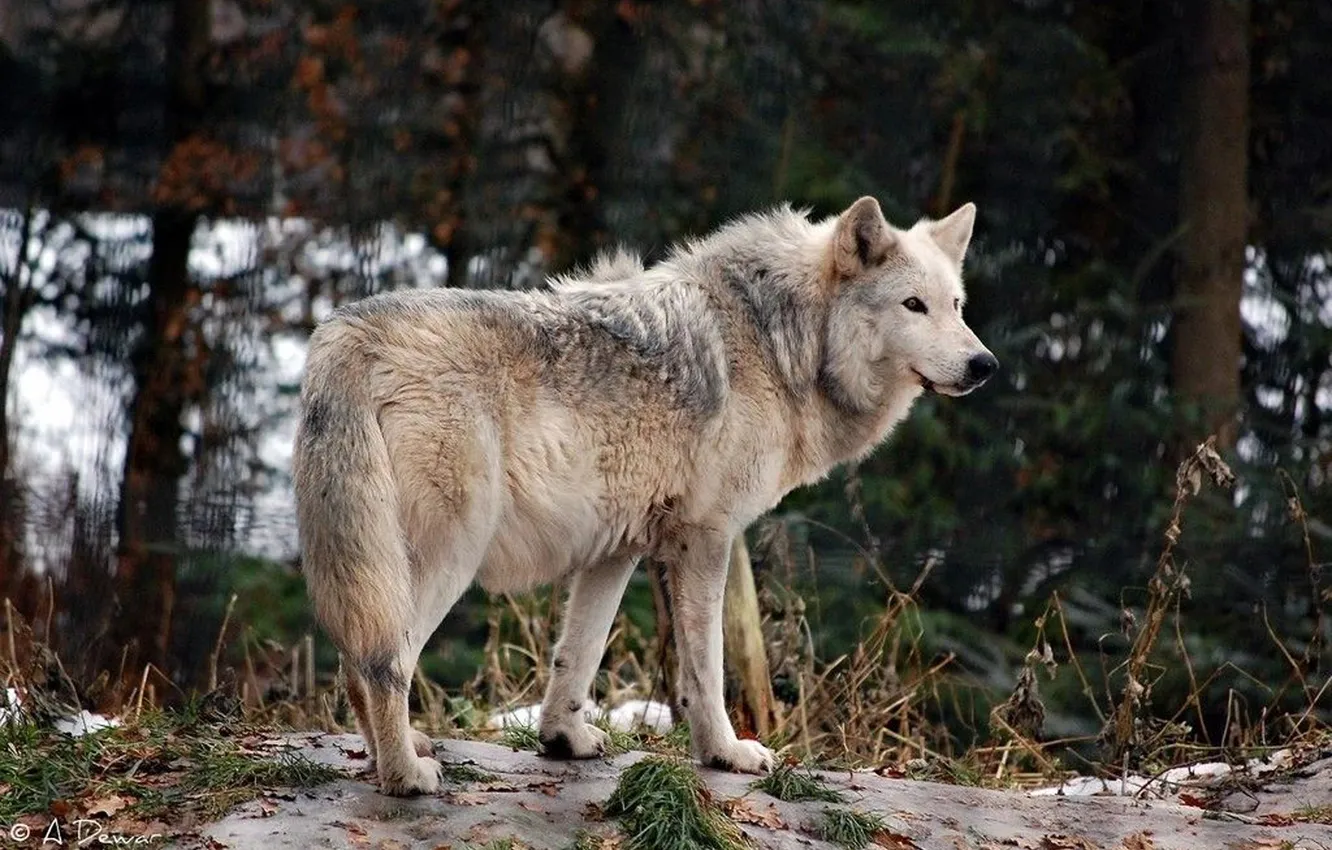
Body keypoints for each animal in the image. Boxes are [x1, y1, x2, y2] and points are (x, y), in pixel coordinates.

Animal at [292, 196, 998, 795]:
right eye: (913, 305)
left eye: (958, 305)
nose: (984, 364)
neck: (779, 341)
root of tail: (348, 334)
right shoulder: (706, 538)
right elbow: (707, 668)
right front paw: (725, 753)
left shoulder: (618, 547)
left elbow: (577, 655)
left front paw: (563, 741)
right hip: (444, 558)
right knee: (382, 663)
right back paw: (405, 775)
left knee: (357, 664)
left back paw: (394, 754)